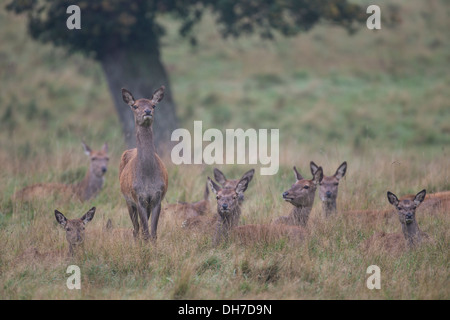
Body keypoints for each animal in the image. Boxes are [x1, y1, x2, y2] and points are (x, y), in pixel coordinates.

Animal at [118, 86, 168, 241]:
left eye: (153, 105)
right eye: (135, 106)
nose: (147, 111)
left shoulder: (157, 197)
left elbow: (153, 233)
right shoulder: (138, 197)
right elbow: (145, 232)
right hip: (127, 201)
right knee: (136, 228)